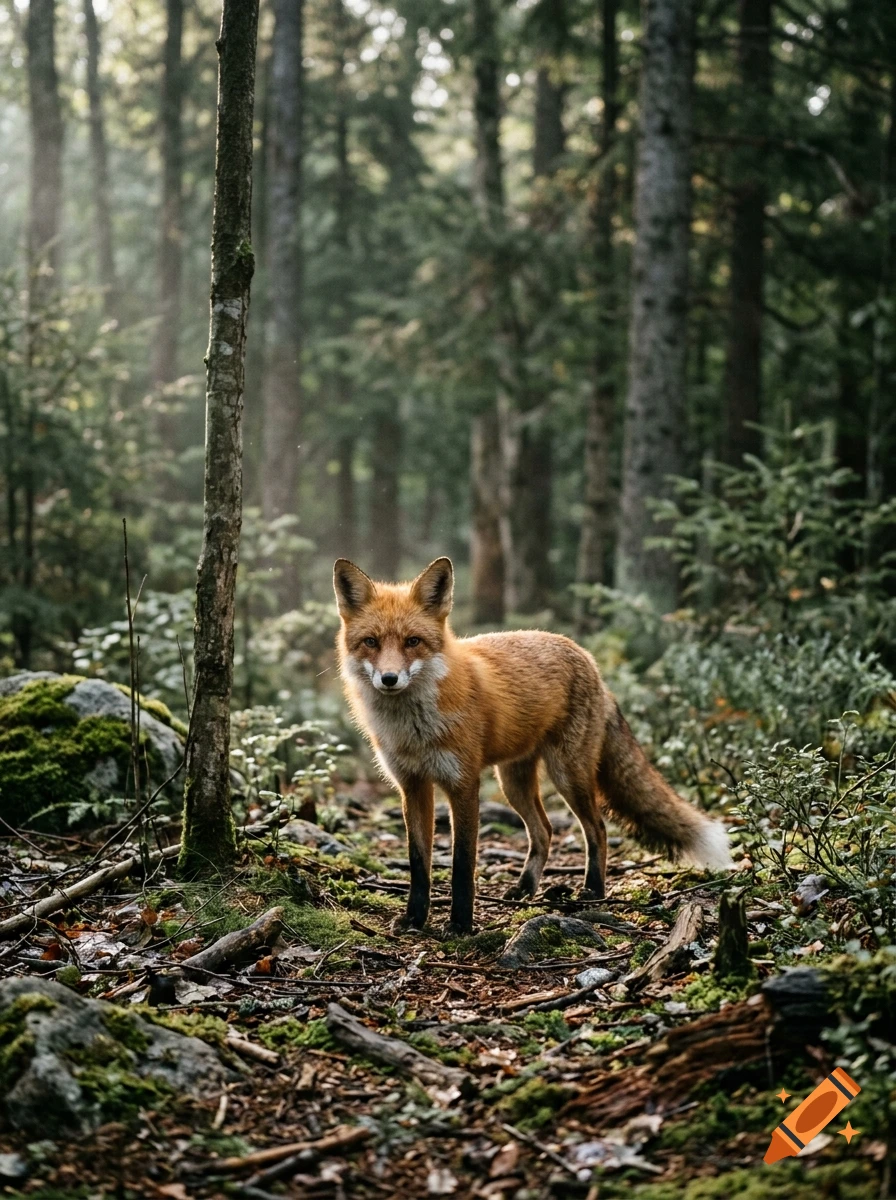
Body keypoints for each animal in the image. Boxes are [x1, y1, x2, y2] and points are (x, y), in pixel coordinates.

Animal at [333, 556, 731, 935]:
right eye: (371, 642)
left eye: (413, 641)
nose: (389, 679)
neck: (413, 729)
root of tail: (589, 660)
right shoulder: (412, 786)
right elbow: (418, 863)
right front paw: (415, 918)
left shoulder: (463, 784)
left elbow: (463, 863)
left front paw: (460, 924)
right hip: (514, 783)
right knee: (545, 830)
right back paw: (525, 887)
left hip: (568, 775)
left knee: (597, 829)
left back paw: (592, 891)